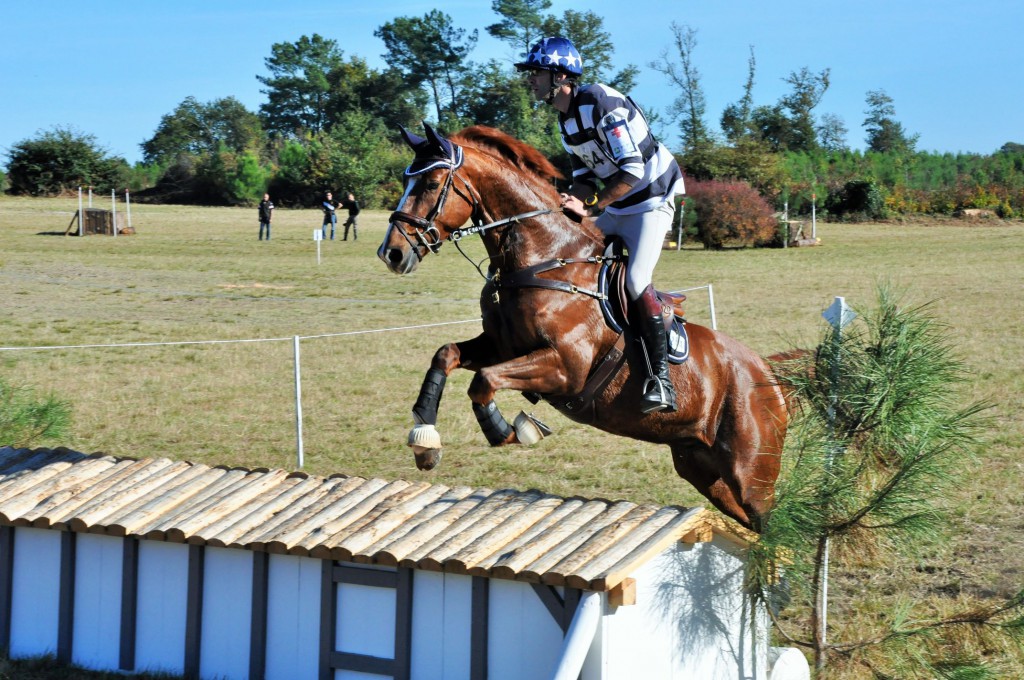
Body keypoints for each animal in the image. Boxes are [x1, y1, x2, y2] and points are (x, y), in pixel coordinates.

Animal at [380, 123, 786, 532]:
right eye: (406, 180)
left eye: (432, 183)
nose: (392, 253)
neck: (544, 259)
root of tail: (771, 376)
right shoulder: (500, 346)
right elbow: (446, 355)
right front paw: (425, 441)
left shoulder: (565, 369)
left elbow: (484, 380)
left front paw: (510, 431)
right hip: (703, 470)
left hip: (750, 475)